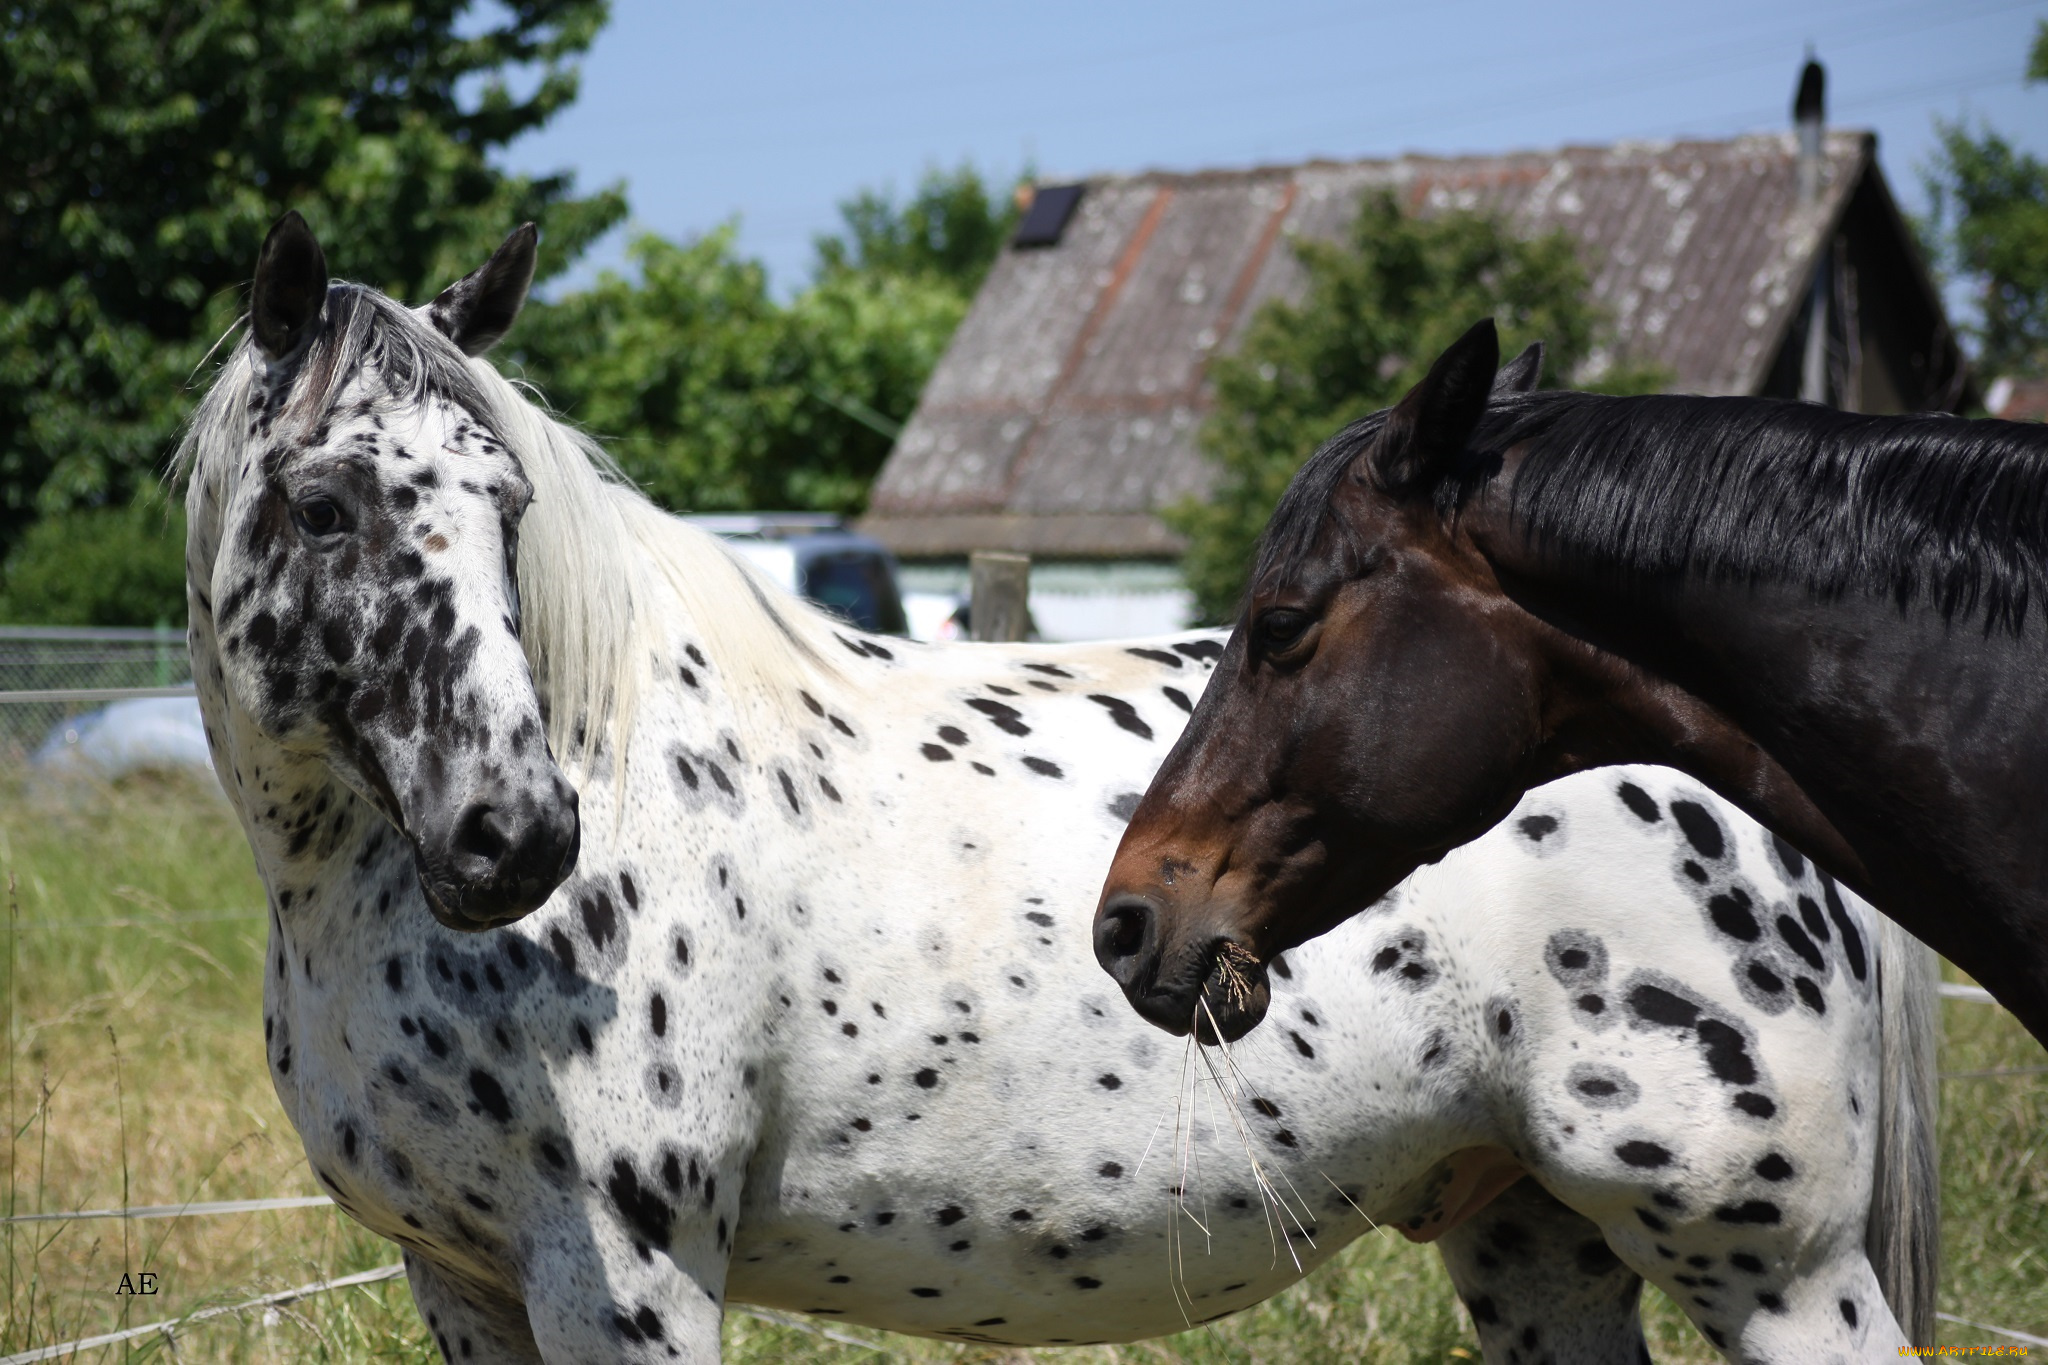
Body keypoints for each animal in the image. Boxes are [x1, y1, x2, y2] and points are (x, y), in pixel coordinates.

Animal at [188, 218, 1933, 1358]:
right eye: (322, 504)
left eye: (506, 503)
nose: (516, 836)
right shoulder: (464, 1281)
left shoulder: (628, 1282)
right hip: (1539, 1247)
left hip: (1772, 1268)